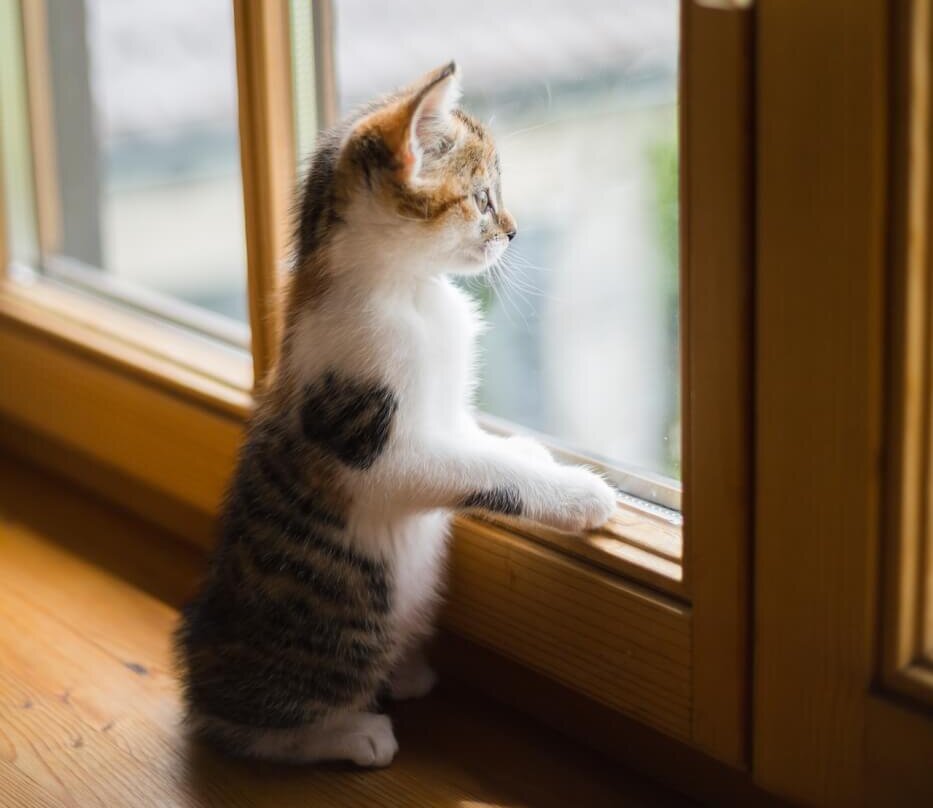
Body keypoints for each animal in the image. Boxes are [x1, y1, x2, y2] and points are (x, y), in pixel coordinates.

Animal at [175, 61, 616, 764]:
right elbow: (471, 470)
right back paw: (352, 733)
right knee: (251, 728)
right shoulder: (375, 451)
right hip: (340, 636)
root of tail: (200, 662)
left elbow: (473, 439)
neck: (409, 293)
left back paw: (405, 672)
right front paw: (577, 493)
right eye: (483, 198)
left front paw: (526, 448)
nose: (513, 231)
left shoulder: (446, 407)